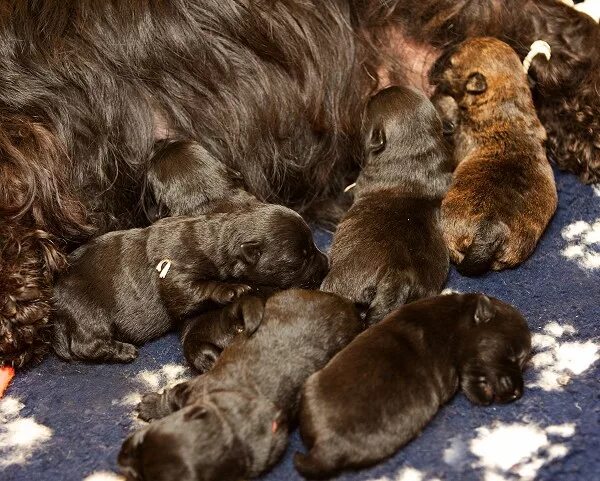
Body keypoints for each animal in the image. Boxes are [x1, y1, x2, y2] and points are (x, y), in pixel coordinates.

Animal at [50, 204, 328, 362]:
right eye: (301, 259)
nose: (326, 263)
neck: (219, 239)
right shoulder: (175, 276)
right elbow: (194, 289)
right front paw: (231, 289)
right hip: (88, 311)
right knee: (86, 344)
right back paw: (123, 351)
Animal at [116, 288, 360, 480]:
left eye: (139, 477)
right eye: (143, 438)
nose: (120, 456)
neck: (228, 424)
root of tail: (346, 304)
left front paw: (149, 407)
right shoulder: (195, 388)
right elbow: (172, 396)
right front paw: (153, 407)